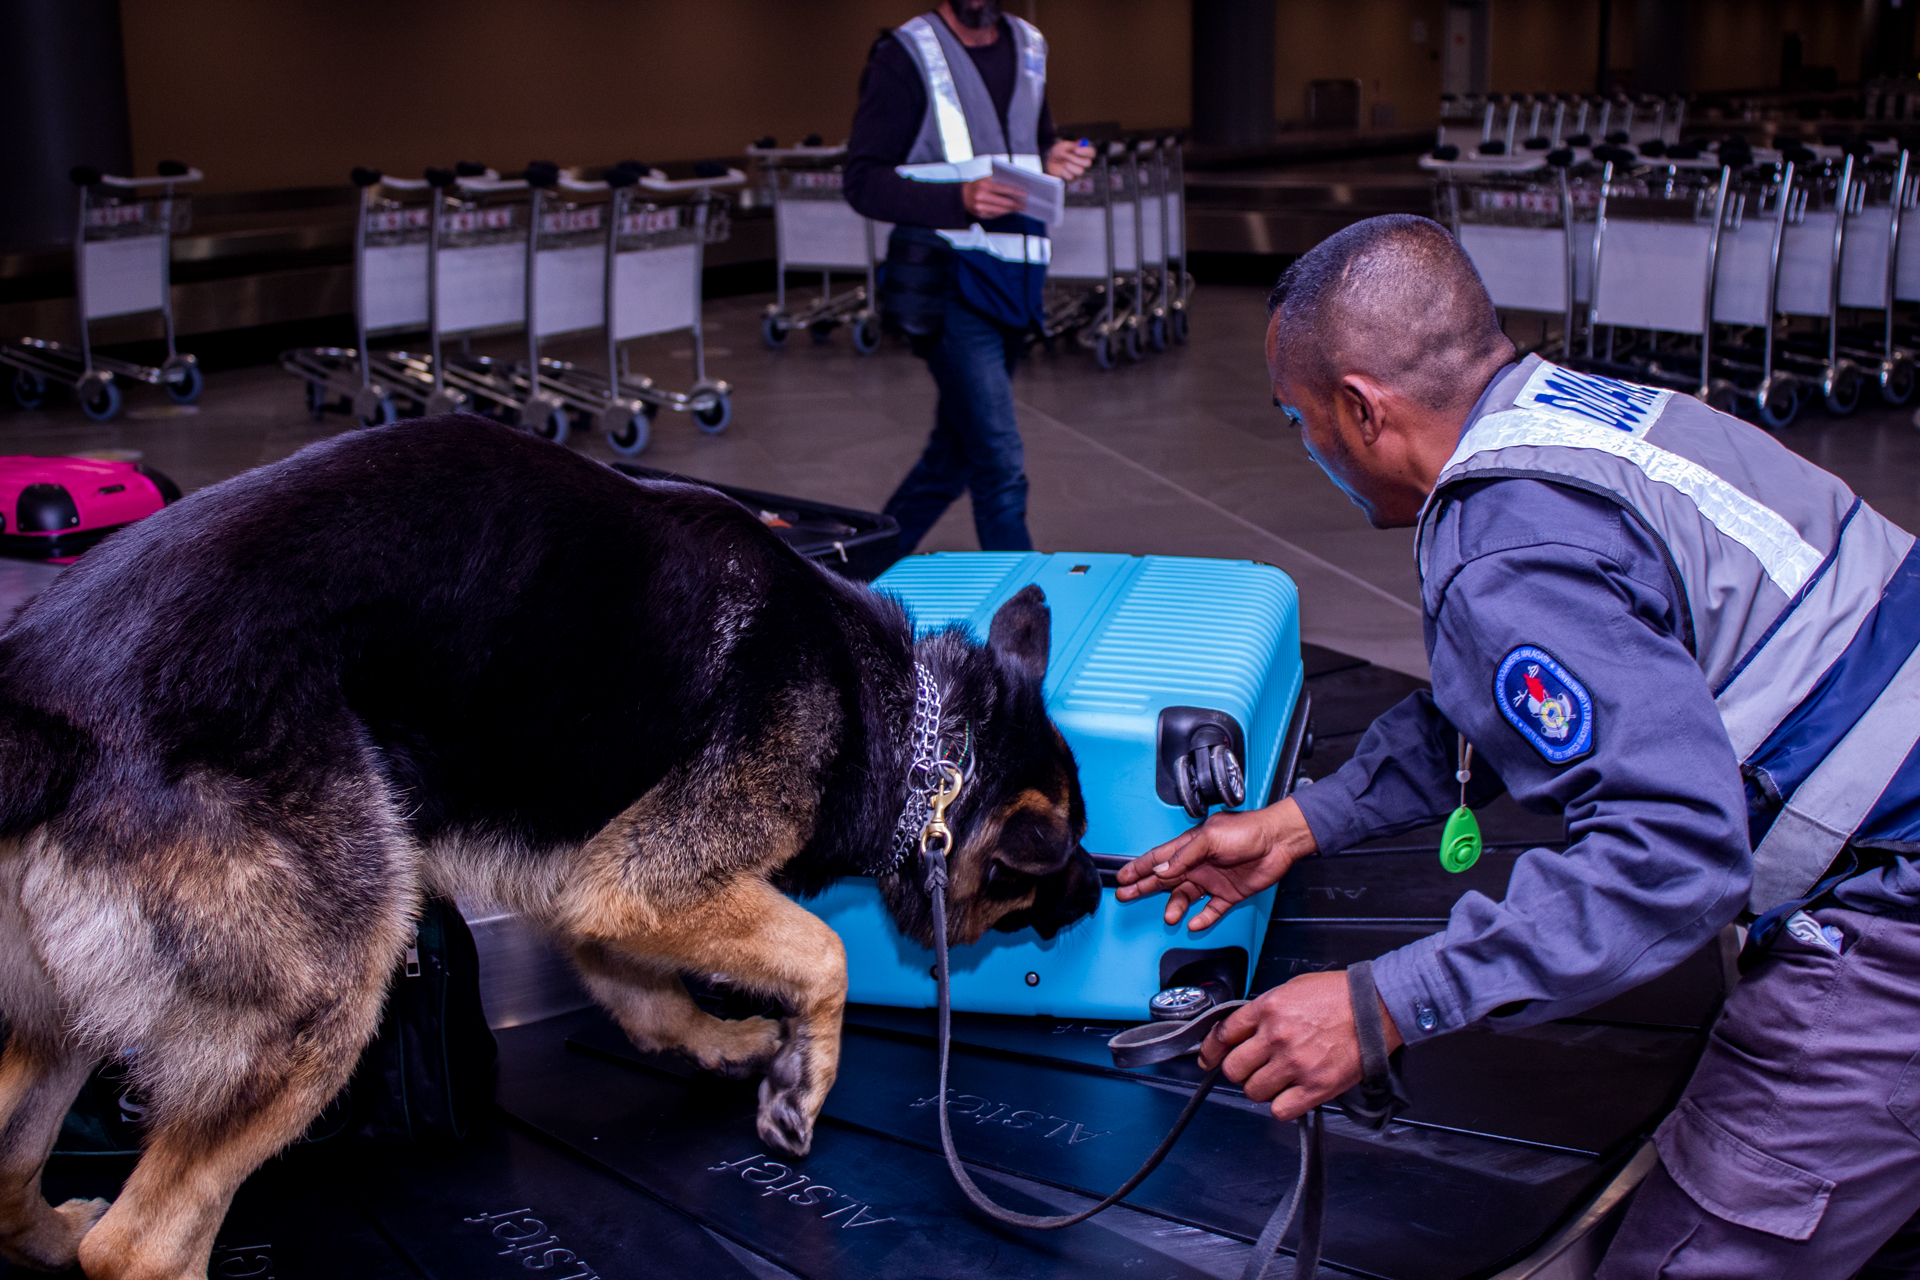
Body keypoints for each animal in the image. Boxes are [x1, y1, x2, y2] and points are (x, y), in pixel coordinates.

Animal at [0, 416, 1098, 1274]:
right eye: (1054, 863)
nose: (1097, 894)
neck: (917, 727)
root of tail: (44, 704)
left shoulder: (588, 886)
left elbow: (648, 999)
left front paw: (728, 1042)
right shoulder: (651, 881)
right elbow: (821, 952)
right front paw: (801, 1081)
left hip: (60, 1020)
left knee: (12, 1161)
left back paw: (49, 1231)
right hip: (326, 992)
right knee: (141, 1242)